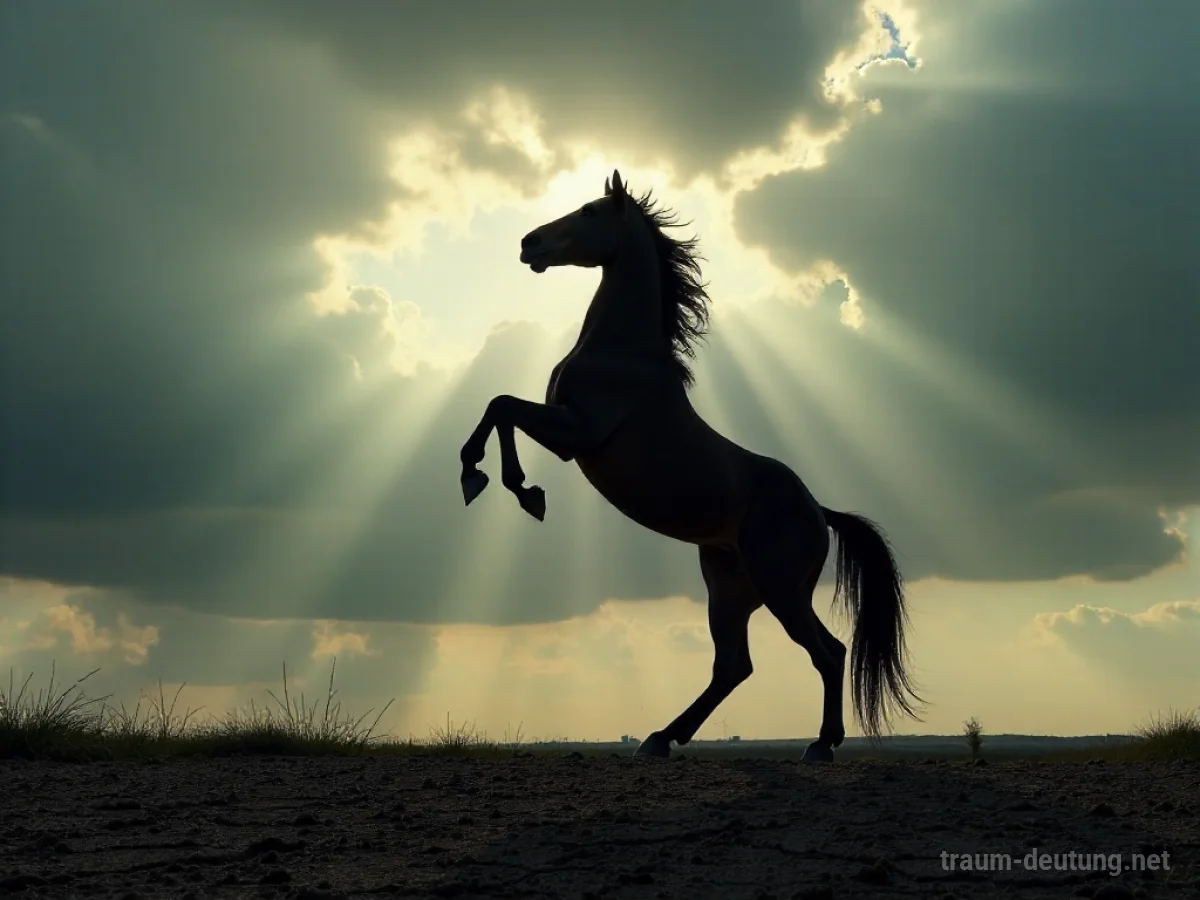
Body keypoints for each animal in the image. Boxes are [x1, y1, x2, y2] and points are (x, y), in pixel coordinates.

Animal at [459, 170, 922, 762]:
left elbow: (501, 406)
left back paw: (820, 745)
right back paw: (660, 738)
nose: (528, 243)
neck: (621, 351)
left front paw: (499, 482)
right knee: (734, 665)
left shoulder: (575, 432)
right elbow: (500, 409)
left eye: (590, 212)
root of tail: (819, 511)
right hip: (731, 590)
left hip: (779, 587)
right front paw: (505, 484)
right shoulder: (564, 427)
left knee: (827, 651)